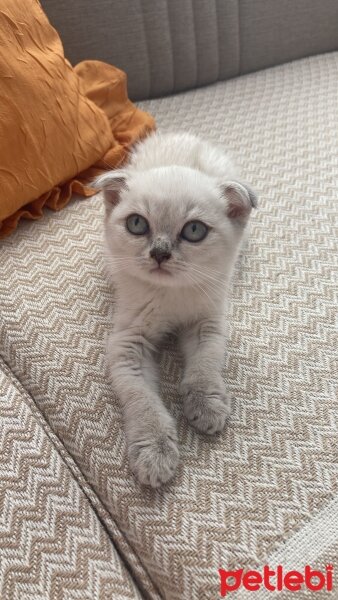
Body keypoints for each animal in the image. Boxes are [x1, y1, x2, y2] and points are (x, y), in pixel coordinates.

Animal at [95, 131, 256, 488]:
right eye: (137, 224)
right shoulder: (127, 345)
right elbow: (143, 400)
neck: (170, 297)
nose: (159, 253)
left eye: (194, 230)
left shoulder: (207, 324)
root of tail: (182, 135)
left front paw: (206, 406)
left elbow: (204, 368)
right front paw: (155, 452)